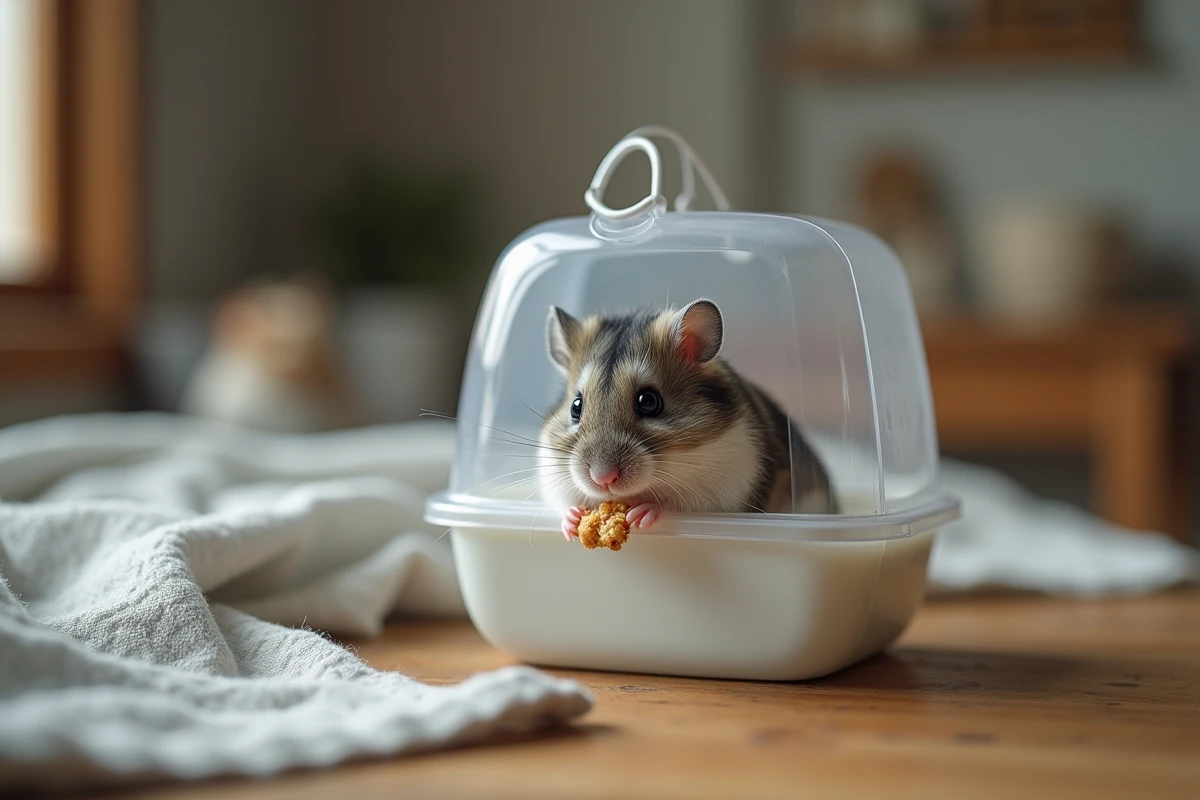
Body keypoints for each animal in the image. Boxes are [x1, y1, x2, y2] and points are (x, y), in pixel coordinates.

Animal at [539, 298, 837, 541]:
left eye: (649, 402)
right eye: (576, 406)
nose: (603, 479)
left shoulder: (726, 487)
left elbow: (678, 502)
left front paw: (642, 513)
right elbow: (564, 500)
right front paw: (572, 520)